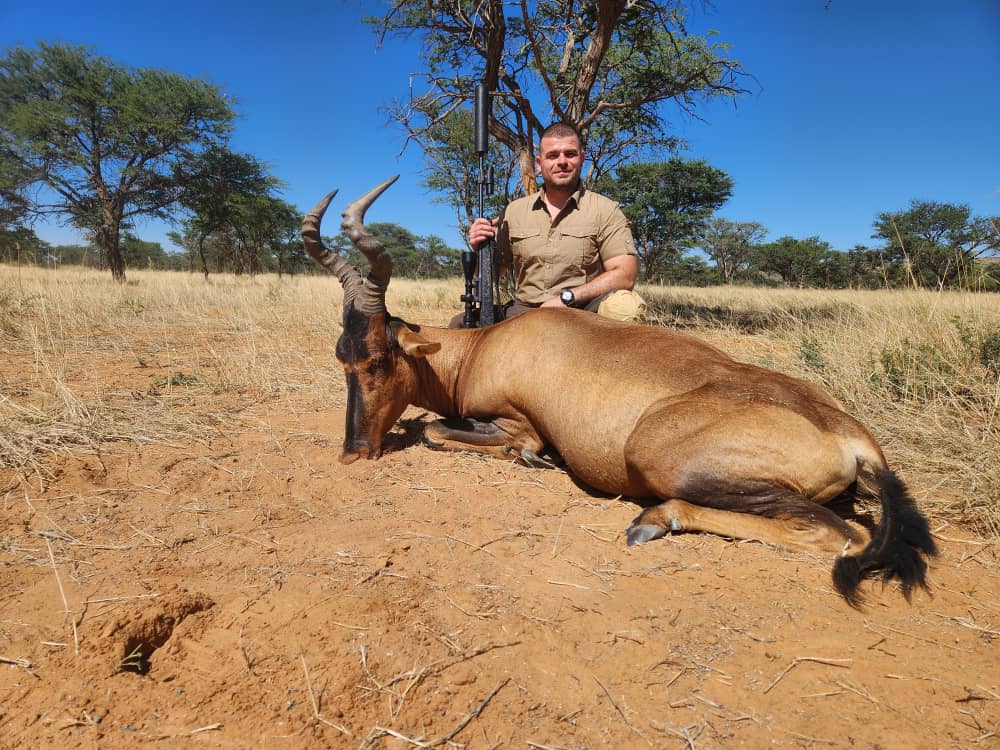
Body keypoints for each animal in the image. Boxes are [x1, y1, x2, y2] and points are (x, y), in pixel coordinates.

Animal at [302, 176, 937, 606]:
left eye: (379, 358)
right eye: (342, 356)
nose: (354, 451)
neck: (484, 345)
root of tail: (851, 433)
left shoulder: (517, 420)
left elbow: (448, 433)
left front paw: (529, 459)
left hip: (664, 457)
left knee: (839, 533)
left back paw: (655, 520)